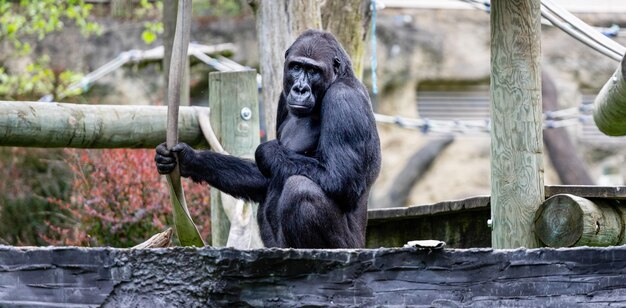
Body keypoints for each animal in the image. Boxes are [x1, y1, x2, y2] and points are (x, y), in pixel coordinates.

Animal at [156, 29, 380, 248]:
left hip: (350, 245)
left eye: (313, 71)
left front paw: (265, 151)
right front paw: (190, 159)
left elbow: (340, 179)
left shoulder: (344, 100)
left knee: (301, 189)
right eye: (296, 67)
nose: (300, 89)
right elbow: (263, 178)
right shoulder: (283, 98)